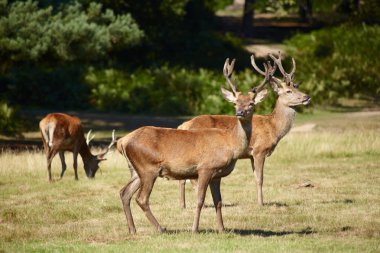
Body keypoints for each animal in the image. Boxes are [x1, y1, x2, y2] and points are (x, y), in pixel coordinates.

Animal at [116, 58, 274, 233]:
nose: (239, 113)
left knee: (124, 192)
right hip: (148, 168)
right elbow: (200, 200)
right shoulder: (205, 168)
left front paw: (222, 229)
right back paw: (160, 228)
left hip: (136, 170)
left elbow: (218, 201)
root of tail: (123, 141)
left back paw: (133, 229)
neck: (231, 146)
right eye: (235, 103)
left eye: (251, 103)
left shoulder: (217, 175)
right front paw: (195, 229)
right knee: (142, 198)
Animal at [178, 51, 312, 208]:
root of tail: (184, 125)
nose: (307, 97)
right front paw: (261, 204)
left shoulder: (251, 155)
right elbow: (260, 178)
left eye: (297, 87)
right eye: (288, 91)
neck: (273, 127)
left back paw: (183, 205)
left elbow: (255, 177)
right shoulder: (260, 150)